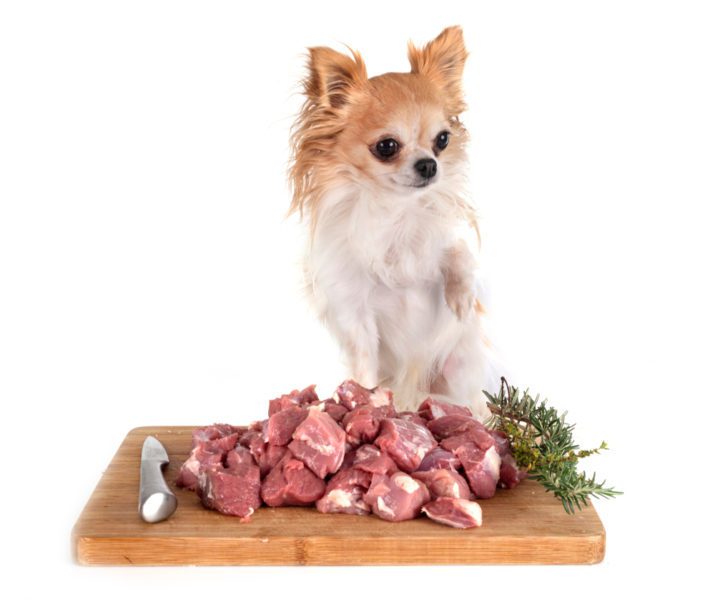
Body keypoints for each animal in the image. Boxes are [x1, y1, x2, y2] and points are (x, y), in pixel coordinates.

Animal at [288, 27, 496, 422]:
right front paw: (364, 398)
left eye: (442, 140)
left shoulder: (440, 245)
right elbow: (364, 363)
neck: (395, 209)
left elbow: (457, 252)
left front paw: (462, 296)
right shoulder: (355, 311)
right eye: (387, 147)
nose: (429, 164)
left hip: (457, 364)